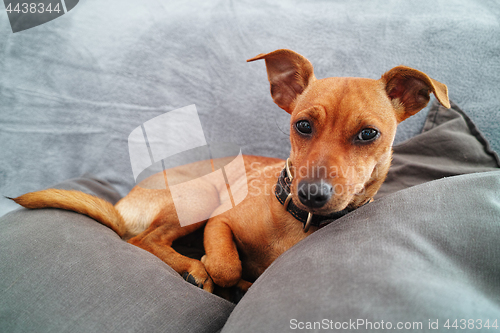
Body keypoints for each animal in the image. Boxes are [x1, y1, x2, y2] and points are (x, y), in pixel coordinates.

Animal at [11, 49, 452, 298]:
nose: (312, 193)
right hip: (200, 197)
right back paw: (191, 268)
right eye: (302, 126)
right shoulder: (219, 221)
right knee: (144, 240)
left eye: (368, 134)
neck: (294, 221)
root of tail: (122, 207)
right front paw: (212, 266)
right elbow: (227, 263)